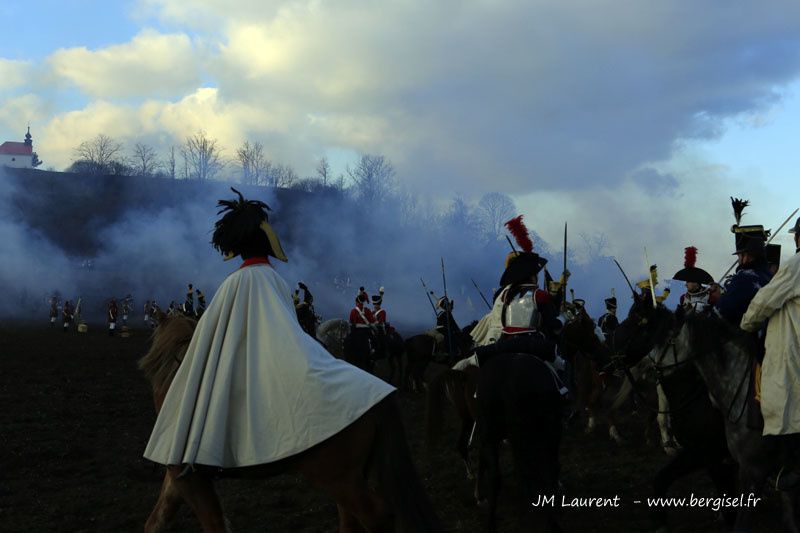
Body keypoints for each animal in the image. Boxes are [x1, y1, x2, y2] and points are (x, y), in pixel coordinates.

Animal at [140, 314, 440, 528]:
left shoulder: (189, 479)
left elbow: (213, 523)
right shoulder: (178, 477)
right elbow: (156, 520)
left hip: (338, 478)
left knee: (377, 516)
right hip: (350, 477)